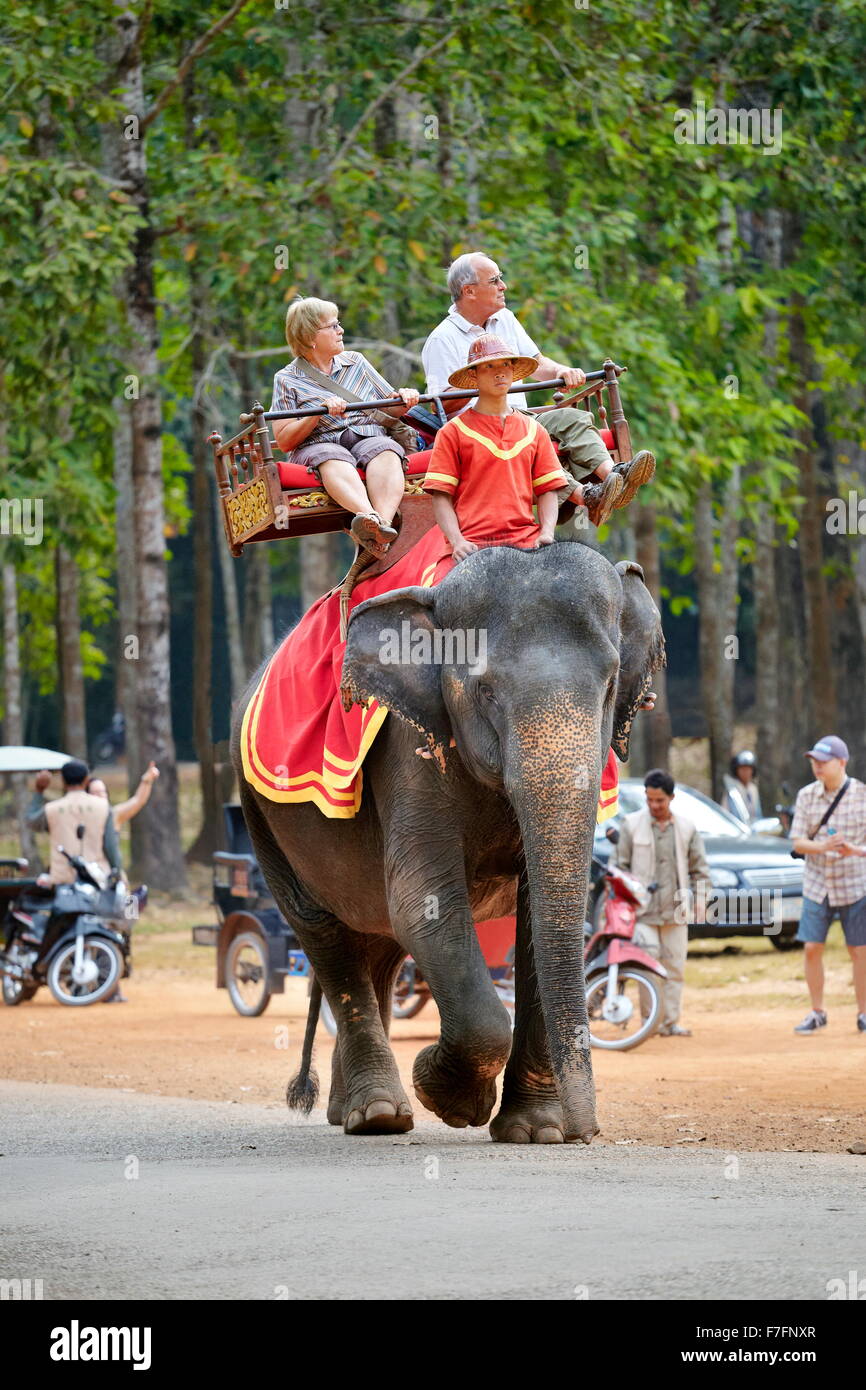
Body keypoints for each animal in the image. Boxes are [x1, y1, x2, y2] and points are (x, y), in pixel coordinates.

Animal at [230, 536, 664, 1145]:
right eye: (485, 691)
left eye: (609, 687)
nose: (587, 1132)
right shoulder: (406, 749)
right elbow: (424, 903)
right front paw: (452, 1098)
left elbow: (535, 918)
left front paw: (535, 1131)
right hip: (260, 817)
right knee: (326, 935)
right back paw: (378, 1115)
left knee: (379, 944)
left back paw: (357, 1112)